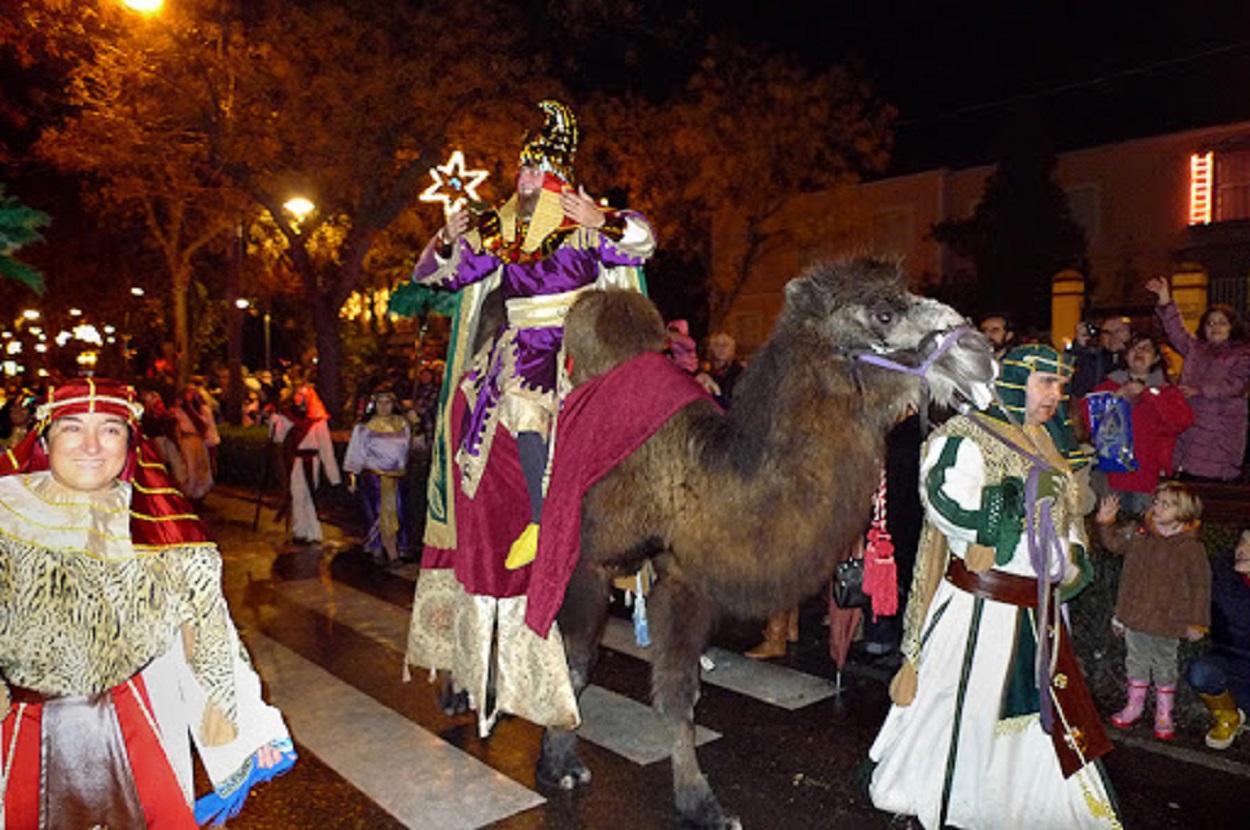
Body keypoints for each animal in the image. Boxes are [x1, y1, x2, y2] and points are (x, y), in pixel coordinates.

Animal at [537, 256, 995, 825]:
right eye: (884, 313)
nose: (979, 353)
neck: (698, 477)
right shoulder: (589, 560)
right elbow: (577, 665)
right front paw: (561, 765)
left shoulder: (685, 579)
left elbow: (679, 695)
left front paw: (697, 804)